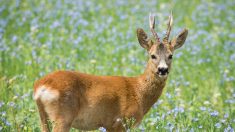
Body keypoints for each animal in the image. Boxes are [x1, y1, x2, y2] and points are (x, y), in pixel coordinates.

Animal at [33, 12, 187, 132]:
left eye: (170, 55)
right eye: (152, 55)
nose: (163, 69)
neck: (138, 91)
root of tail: (40, 86)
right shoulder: (120, 122)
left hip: (43, 116)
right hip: (63, 116)